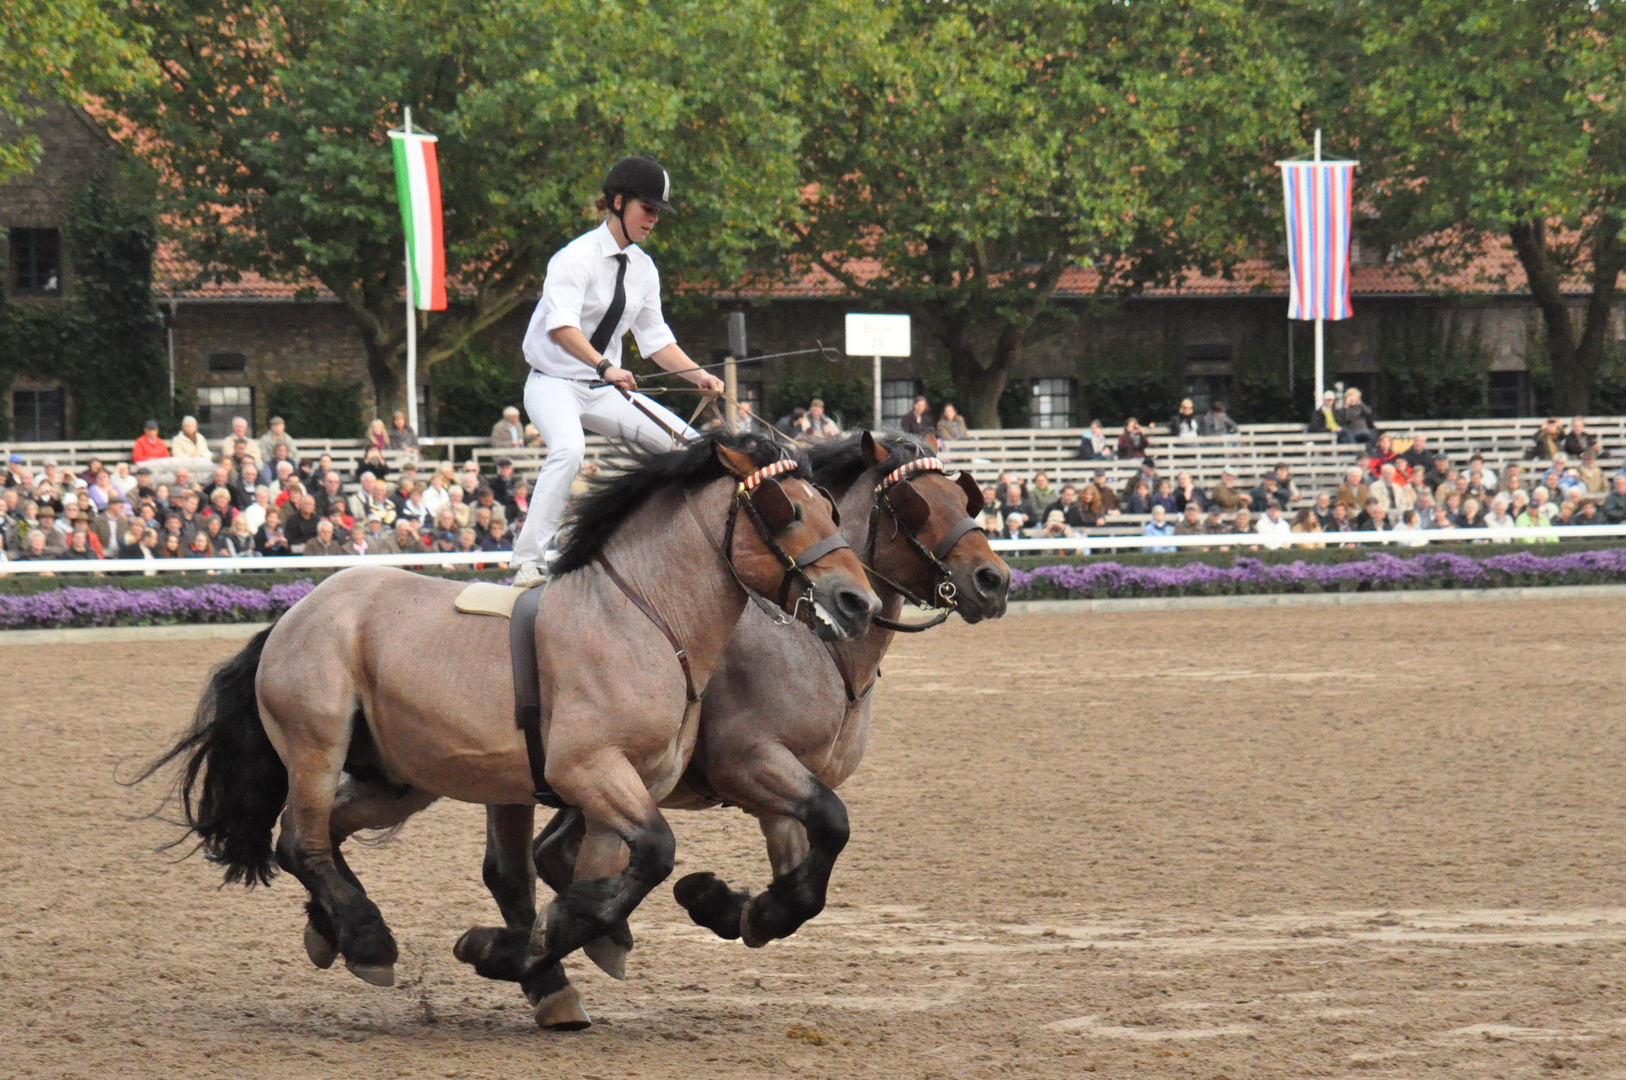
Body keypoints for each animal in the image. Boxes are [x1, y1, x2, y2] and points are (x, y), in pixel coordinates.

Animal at [458, 432, 1008, 1021]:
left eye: (964, 497)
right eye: (915, 504)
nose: (995, 580)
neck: (813, 646)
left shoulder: (782, 791)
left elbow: (803, 880)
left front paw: (732, 907)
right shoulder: (750, 763)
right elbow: (833, 824)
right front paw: (723, 903)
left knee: (546, 857)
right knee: (514, 873)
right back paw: (545, 973)